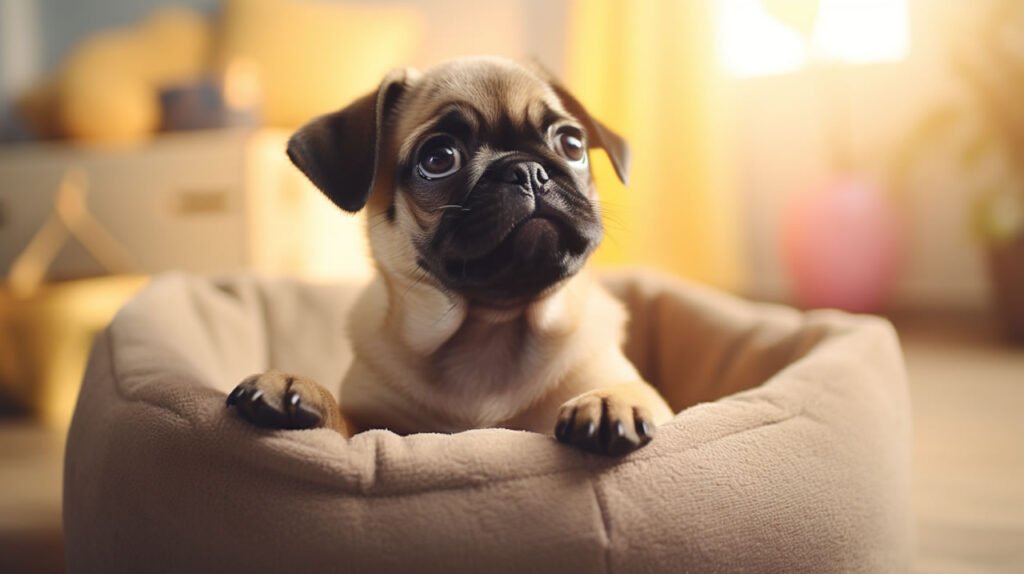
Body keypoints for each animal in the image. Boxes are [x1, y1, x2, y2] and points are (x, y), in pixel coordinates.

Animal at [226, 56, 671, 454]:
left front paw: (611, 400)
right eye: (439, 158)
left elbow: (634, 390)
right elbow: (347, 420)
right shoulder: (373, 419)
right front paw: (300, 389)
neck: (491, 330)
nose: (527, 170)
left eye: (573, 144)